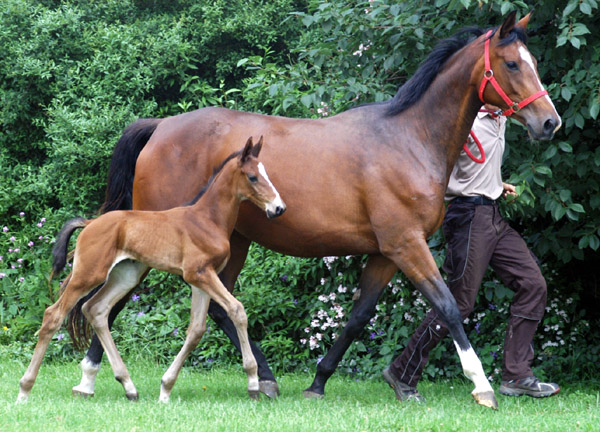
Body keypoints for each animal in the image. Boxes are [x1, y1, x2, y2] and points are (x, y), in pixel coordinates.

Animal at [16, 138, 284, 402]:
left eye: (267, 173)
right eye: (253, 177)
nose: (278, 208)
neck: (207, 219)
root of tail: (90, 223)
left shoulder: (202, 278)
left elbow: (196, 329)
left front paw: (166, 388)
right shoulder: (198, 274)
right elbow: (237, 310)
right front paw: (253, 382)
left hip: (125, 276)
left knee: (95, 310)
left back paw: (129, 387)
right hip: (88, 275)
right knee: (53, 315)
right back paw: (24, 389)